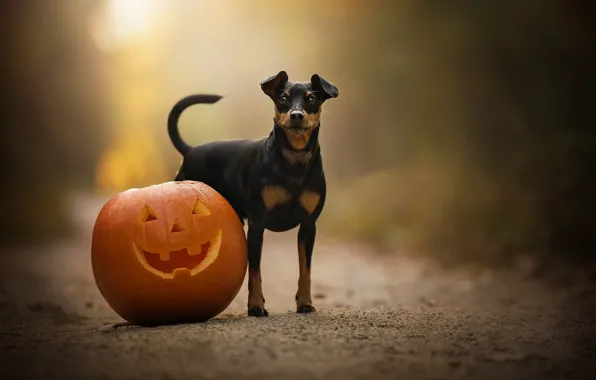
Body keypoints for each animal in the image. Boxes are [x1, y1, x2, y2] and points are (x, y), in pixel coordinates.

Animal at [168, 72, 338, 318]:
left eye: (312, 98)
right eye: (283, 98)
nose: (296, 115)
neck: (294, 161)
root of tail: (190, 151)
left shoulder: (308, 225)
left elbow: (305, 269)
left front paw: (305, 303)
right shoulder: (258, 224)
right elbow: (255, 271)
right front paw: (256, 306)